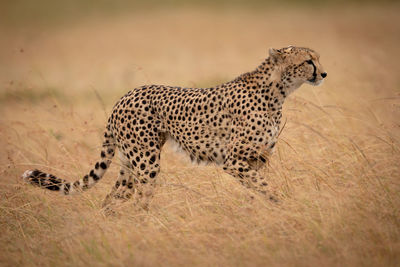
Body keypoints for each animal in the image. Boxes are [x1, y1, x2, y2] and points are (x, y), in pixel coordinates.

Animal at [21, 46, 326, 208]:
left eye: (318, 58)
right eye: (307, 61)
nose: (323, 73)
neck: (277, 90)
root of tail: (124, 96)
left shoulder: (257, 159)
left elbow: (258, 186)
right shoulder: (233, 160)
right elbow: (265, 186)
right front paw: (282, 203)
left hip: (129, 164)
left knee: (112, 199)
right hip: (146, 162)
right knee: (139, 201)